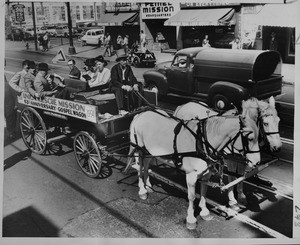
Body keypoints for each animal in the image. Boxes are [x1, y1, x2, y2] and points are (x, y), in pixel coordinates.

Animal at [127, 108, 258, 228]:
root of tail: (140, 114)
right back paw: (142, 190)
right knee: (139, 167)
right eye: (249, 138)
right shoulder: (191, 175)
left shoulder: (206, 173)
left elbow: (204, 191)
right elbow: (192, 196)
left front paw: (204, 212)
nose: (257, 162)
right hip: (139, 150)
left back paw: (148, 185)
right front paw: (191, 219)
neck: (201, 142)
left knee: (146, 166)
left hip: (148, 152)